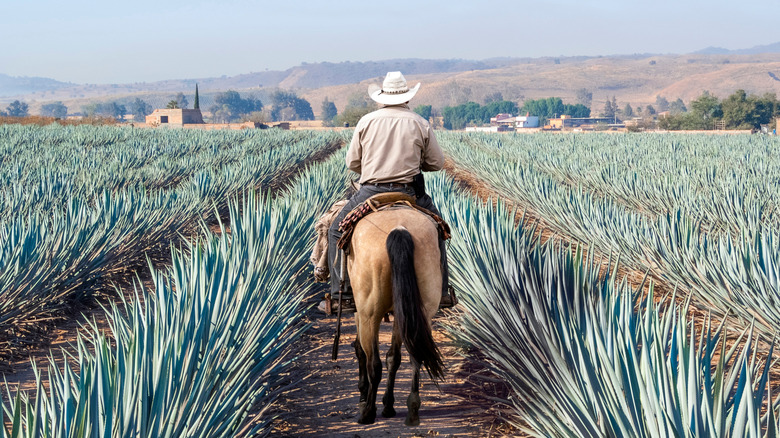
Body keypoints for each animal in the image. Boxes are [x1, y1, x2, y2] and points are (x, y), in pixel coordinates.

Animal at [348, 207, 444, 426]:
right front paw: (388, 405)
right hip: (418, 309)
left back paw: (367, 413)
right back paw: (412, 409)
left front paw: (363, 395)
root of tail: (399, 229)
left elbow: (361, 350)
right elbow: (394, 357)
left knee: (374, 363)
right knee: (415, 356)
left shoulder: (360, 311)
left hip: (370, 313)